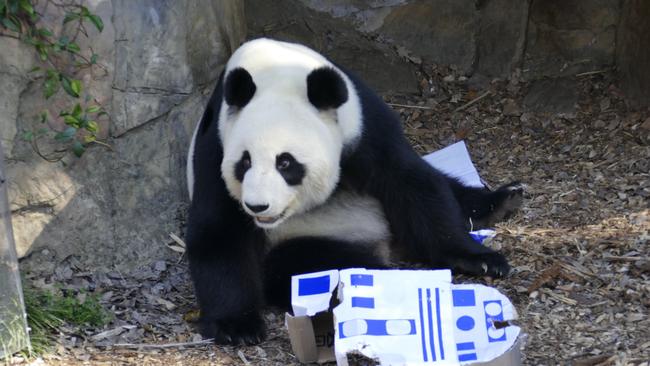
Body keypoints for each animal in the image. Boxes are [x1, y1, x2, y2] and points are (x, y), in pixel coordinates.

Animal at [184, 38, 520, 344]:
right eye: (245, 162)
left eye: (285, 162)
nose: (257, 207)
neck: (273, 68)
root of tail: (388, 244)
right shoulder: (216, 145)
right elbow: (219, 229)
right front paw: (237, 325)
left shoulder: (363, 125)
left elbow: (413, 184)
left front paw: (479, 258)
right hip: (312, 237)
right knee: (318, 263)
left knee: (447, 186)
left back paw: (501, 201)